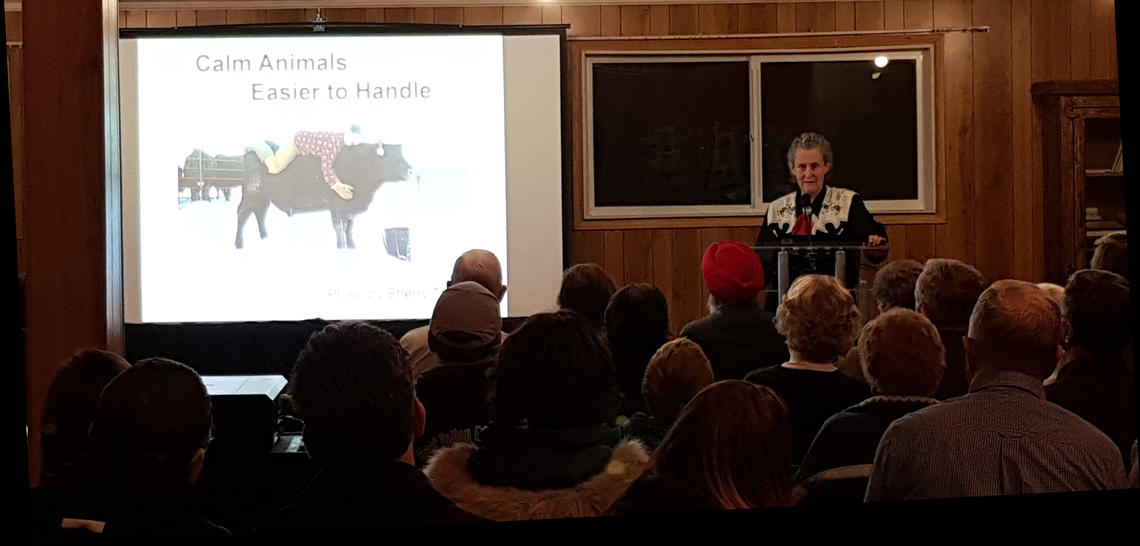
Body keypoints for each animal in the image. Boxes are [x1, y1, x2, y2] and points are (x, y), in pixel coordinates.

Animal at [233, 143, 412, 249]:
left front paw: (351, 246)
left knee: (259, 215)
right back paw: (239, 243)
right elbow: (340, 228)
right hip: (251, 196)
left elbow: (349, 228)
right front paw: (341, 246)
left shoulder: (350, 209)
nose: (410, 170)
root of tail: (248, 156)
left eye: (401, 155)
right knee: (242, 215)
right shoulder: (338, 208)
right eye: (392, 157)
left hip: (262, 199)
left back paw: (264, 237)